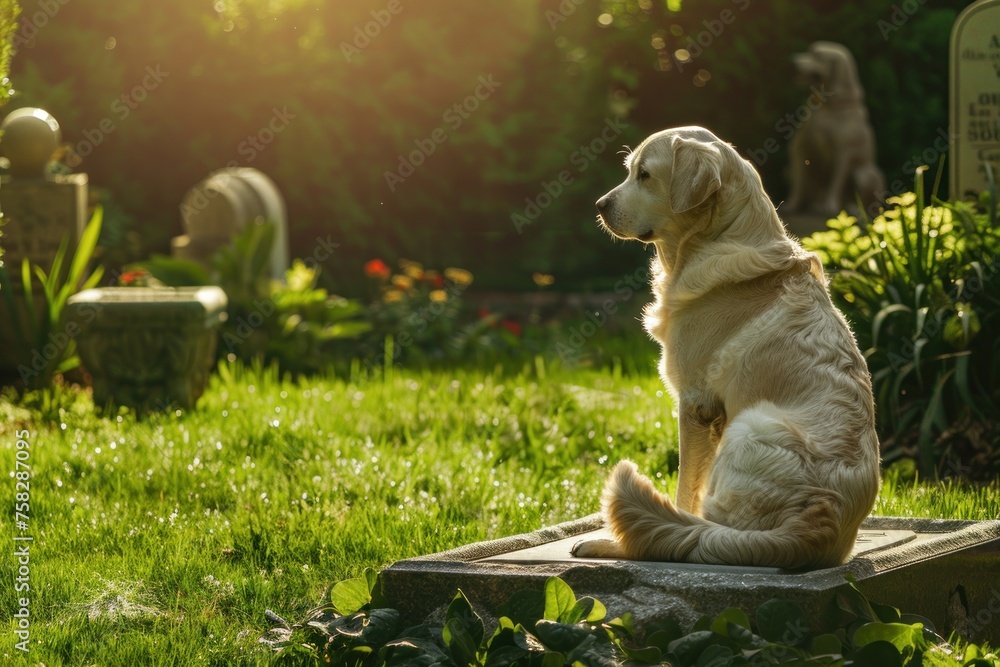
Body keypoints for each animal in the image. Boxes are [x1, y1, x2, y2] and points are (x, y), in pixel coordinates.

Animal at [572, 125, 884, 568]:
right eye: (629, 170)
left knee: (695, 535)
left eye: (645, 175)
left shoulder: (695, 404)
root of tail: (819, 518)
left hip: (749, 425)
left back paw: (610, 542)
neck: (712, 240)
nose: (600, 206)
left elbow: (684, 493)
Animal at [784, 40, 888, 218]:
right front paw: (792, 205)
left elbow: (836, 182)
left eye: (818, 55)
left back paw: (853, 209)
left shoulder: (844, 153)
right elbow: (799, 183)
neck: (826, 107)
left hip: (865, 174)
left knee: (864, 202)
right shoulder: (800, 149)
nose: (791, 61)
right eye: (809, 51)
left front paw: (830, 206)